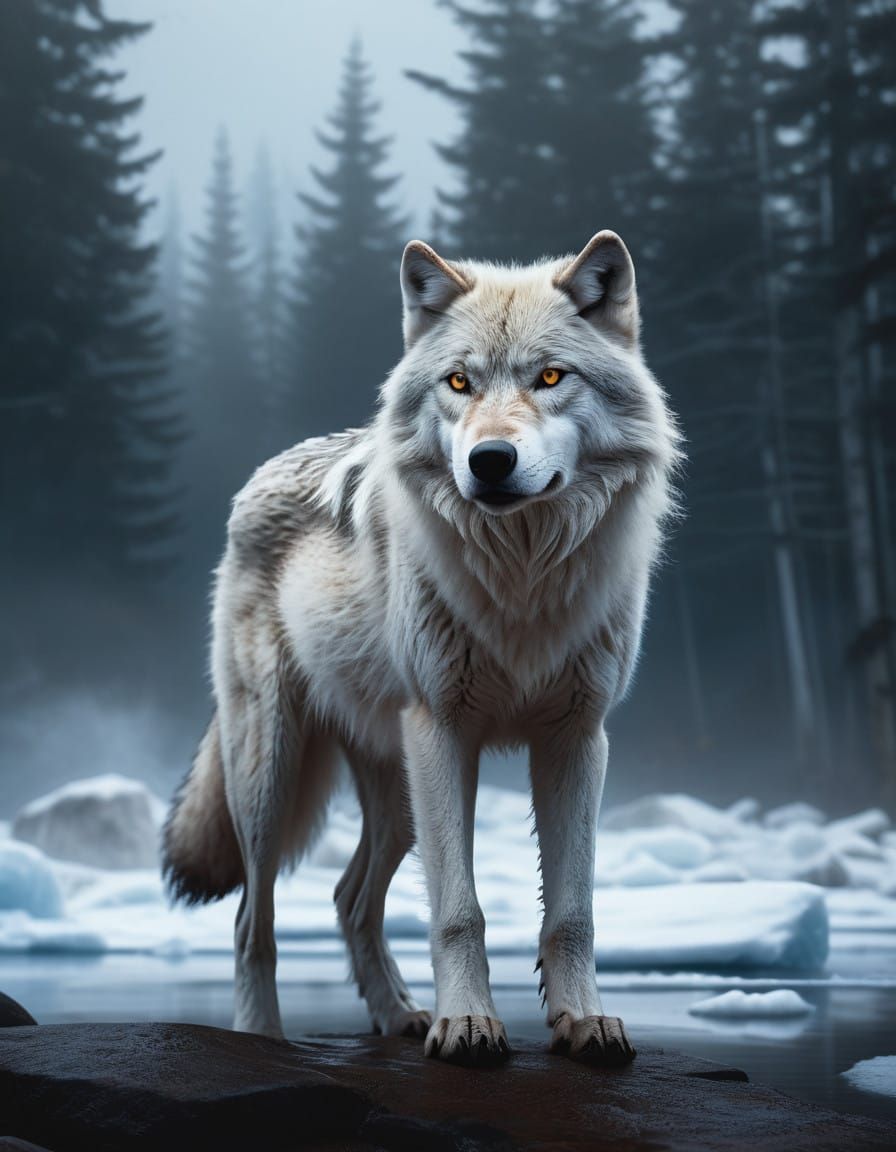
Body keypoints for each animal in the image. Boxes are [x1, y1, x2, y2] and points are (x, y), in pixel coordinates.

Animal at [163, 230, 681, 1067]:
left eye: (550, 376)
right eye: (459, 381)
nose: (490, 460)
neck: (521, 576)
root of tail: (259, 476)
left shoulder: (576, 737)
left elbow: (574, 910)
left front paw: (584, 1022)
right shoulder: (445, 732)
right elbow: (458, 910)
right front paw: (467, 1026)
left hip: (396, 787)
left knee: (348, 897)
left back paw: (397, 1014)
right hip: (272, 771)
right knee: (250, 917)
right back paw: (263, 1035)